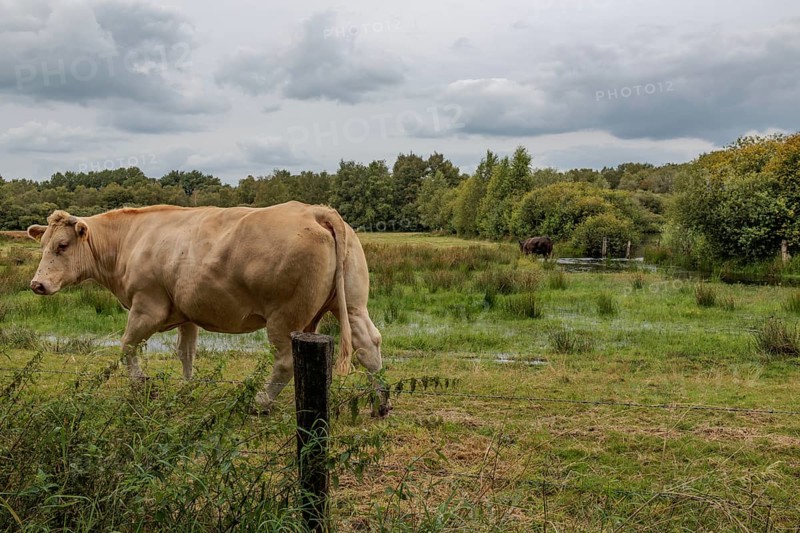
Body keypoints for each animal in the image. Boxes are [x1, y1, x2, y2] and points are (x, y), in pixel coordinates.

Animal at [26, 202, 388, 415]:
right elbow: (186, 352)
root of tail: (316, 210)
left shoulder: (148, 305)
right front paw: (186, 389)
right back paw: (381, 402)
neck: (130, 241)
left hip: (285, 317)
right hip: (352, 304)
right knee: (368, 343)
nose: (37, 284)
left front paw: (141, 385)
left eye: (62, 245)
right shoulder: (187, 311)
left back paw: (260, 402)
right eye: (42, 245)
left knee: (285, 361)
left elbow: (127, 345)